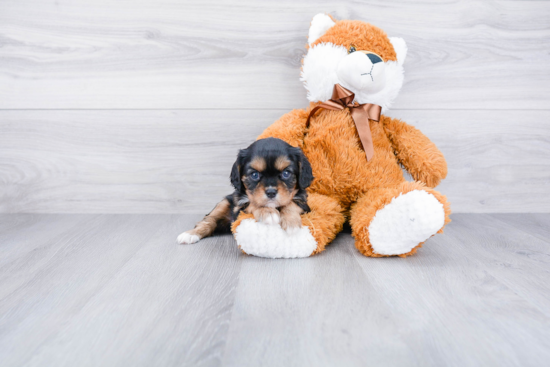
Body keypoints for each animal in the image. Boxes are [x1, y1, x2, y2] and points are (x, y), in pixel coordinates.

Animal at [178, 138, 314, 244]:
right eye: (254, 175)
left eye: (286, 173)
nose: (271, 192)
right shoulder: (238, 209)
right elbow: (252, 203)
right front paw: (268, 212)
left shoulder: (304, 204)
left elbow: (291, 204)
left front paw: (291, 223)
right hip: (224, 203)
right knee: (209, 220)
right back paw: (190, 234)